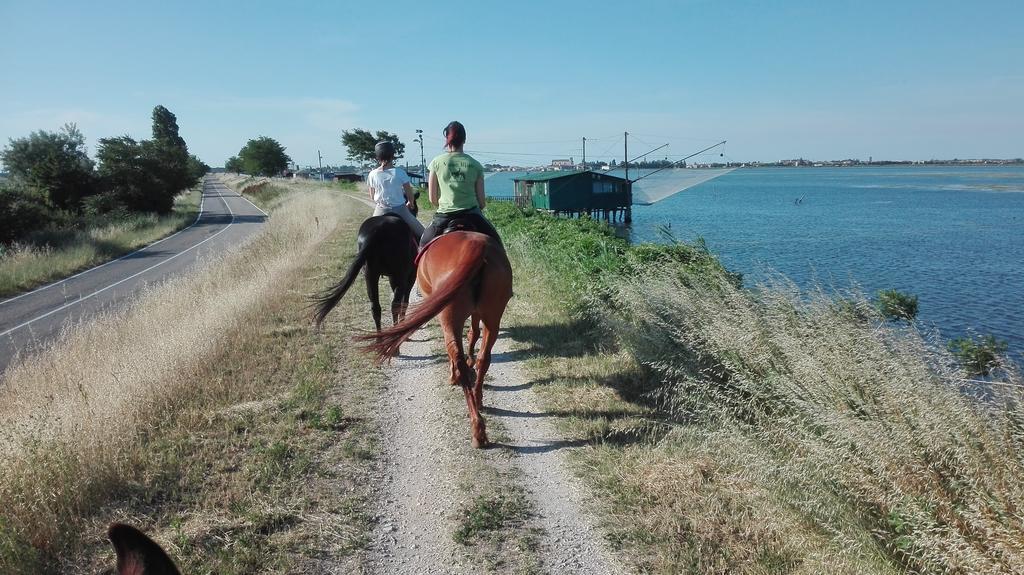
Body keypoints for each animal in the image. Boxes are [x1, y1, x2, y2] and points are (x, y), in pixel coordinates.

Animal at [366, 230, 516, 446]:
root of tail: (477, 247)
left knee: (457, 356)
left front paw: (452, 375)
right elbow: (473, 333)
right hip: (493, 317)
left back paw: (477, 428)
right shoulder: (477, 313)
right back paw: (478, 399)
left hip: (450, 318)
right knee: (484, 357)